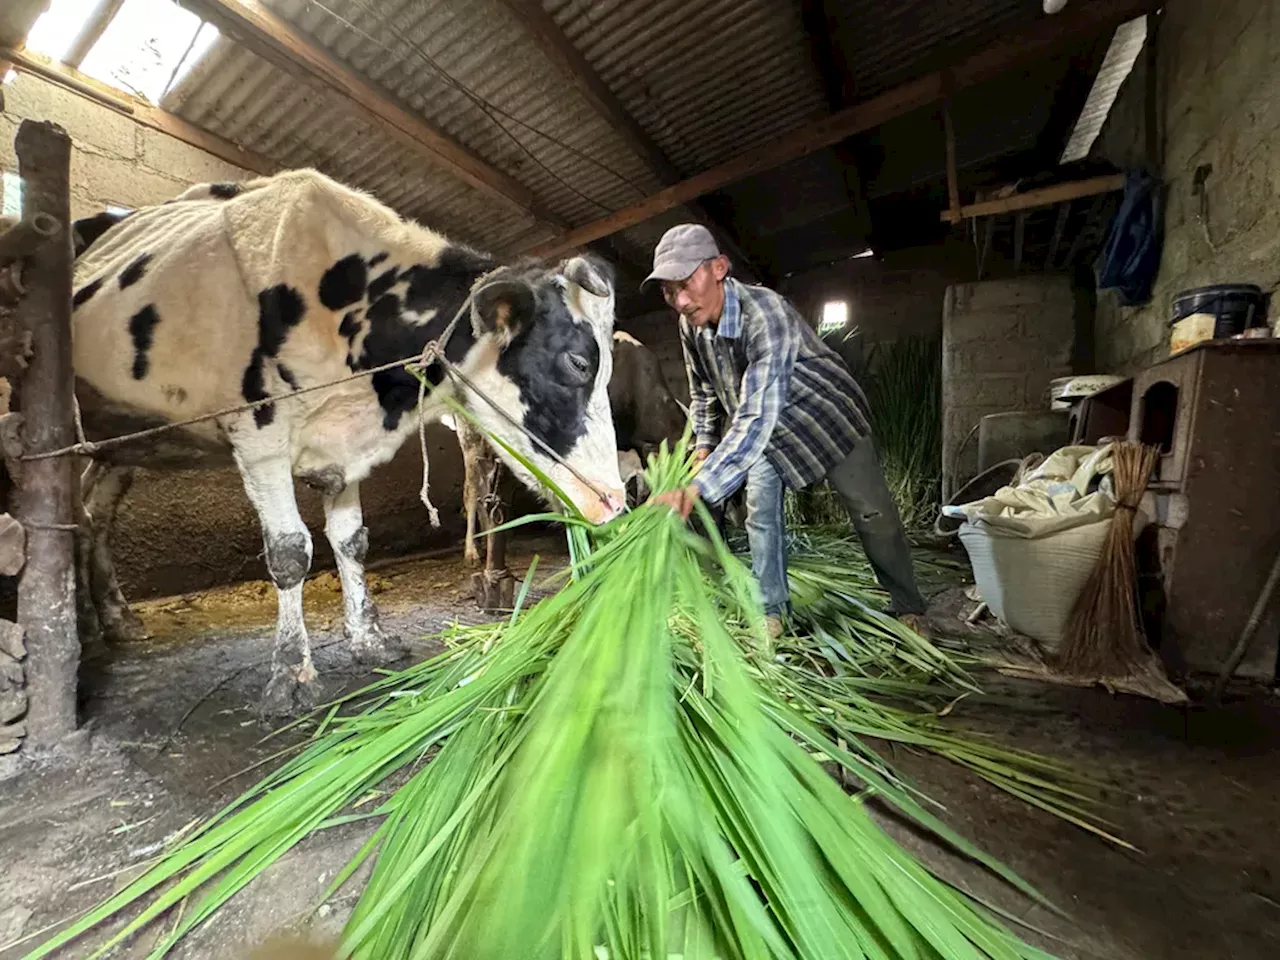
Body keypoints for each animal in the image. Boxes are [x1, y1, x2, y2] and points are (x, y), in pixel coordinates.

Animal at [67, 168, 627, 716]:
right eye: (578, 362)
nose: (614, 502)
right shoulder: (258, 435)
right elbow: (290, 550)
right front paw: (291, 673)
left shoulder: (343, 451)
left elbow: (351, 540)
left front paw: (369, 638)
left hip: (122, 445)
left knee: (94, 513)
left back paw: (111, 622)